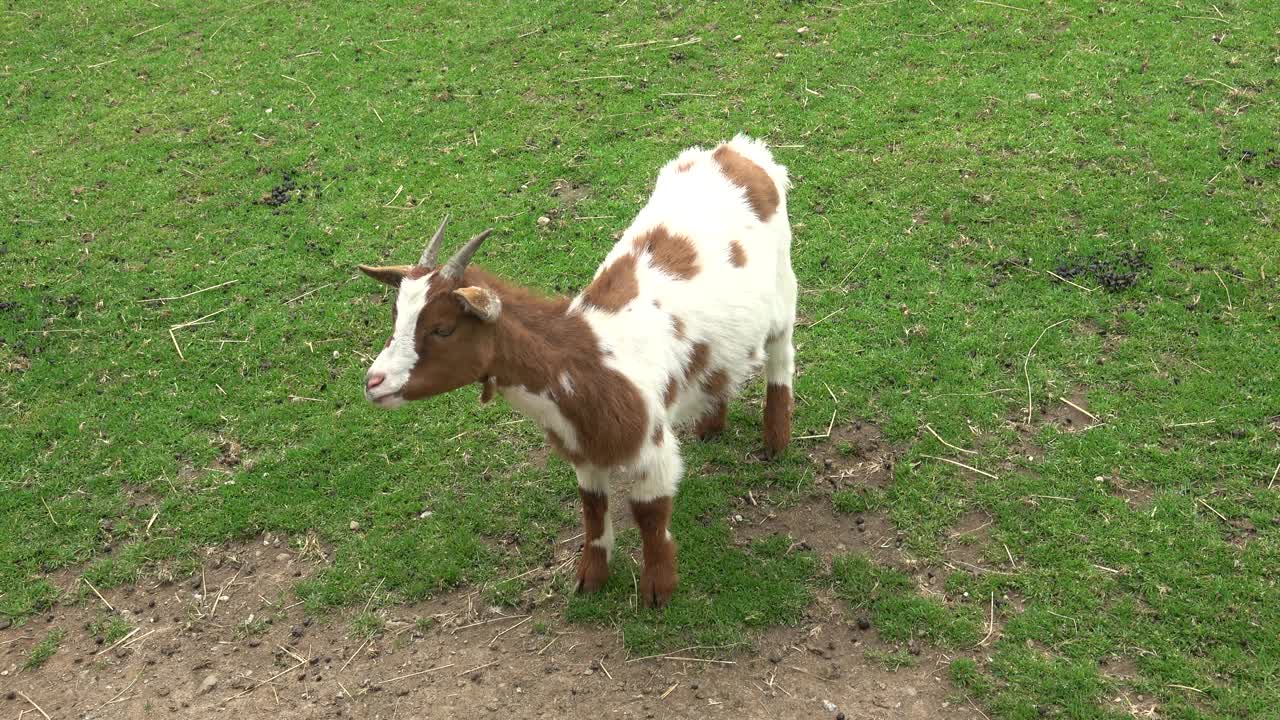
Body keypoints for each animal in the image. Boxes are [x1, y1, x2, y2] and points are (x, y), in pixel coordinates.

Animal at [358, 135, 788, 604]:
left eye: (442, 328)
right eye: (396, 316)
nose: (373, 382)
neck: (586, 362)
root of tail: (740, 150)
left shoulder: (652, 450)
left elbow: (651, 517)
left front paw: (658, 591)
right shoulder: (584, 451)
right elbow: (593, 513)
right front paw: (590, 580)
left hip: (785, 293)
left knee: (781, 359)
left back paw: (776, 442)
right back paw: (712, 424)